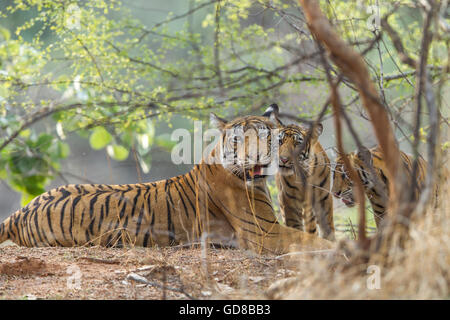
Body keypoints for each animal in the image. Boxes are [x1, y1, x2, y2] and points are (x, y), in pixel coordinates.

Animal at [0, 111, 330, 254]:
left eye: (265, 137)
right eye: (239, 140)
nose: (257, 157)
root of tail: (19, 212)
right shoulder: (265, 233)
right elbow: (314, 240)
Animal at [264, 104, 334, 241]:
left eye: (297, 144)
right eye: (280, 142)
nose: (283, 159)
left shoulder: (323, 198)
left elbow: (326, 228)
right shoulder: (289, 199)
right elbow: (296, 227)